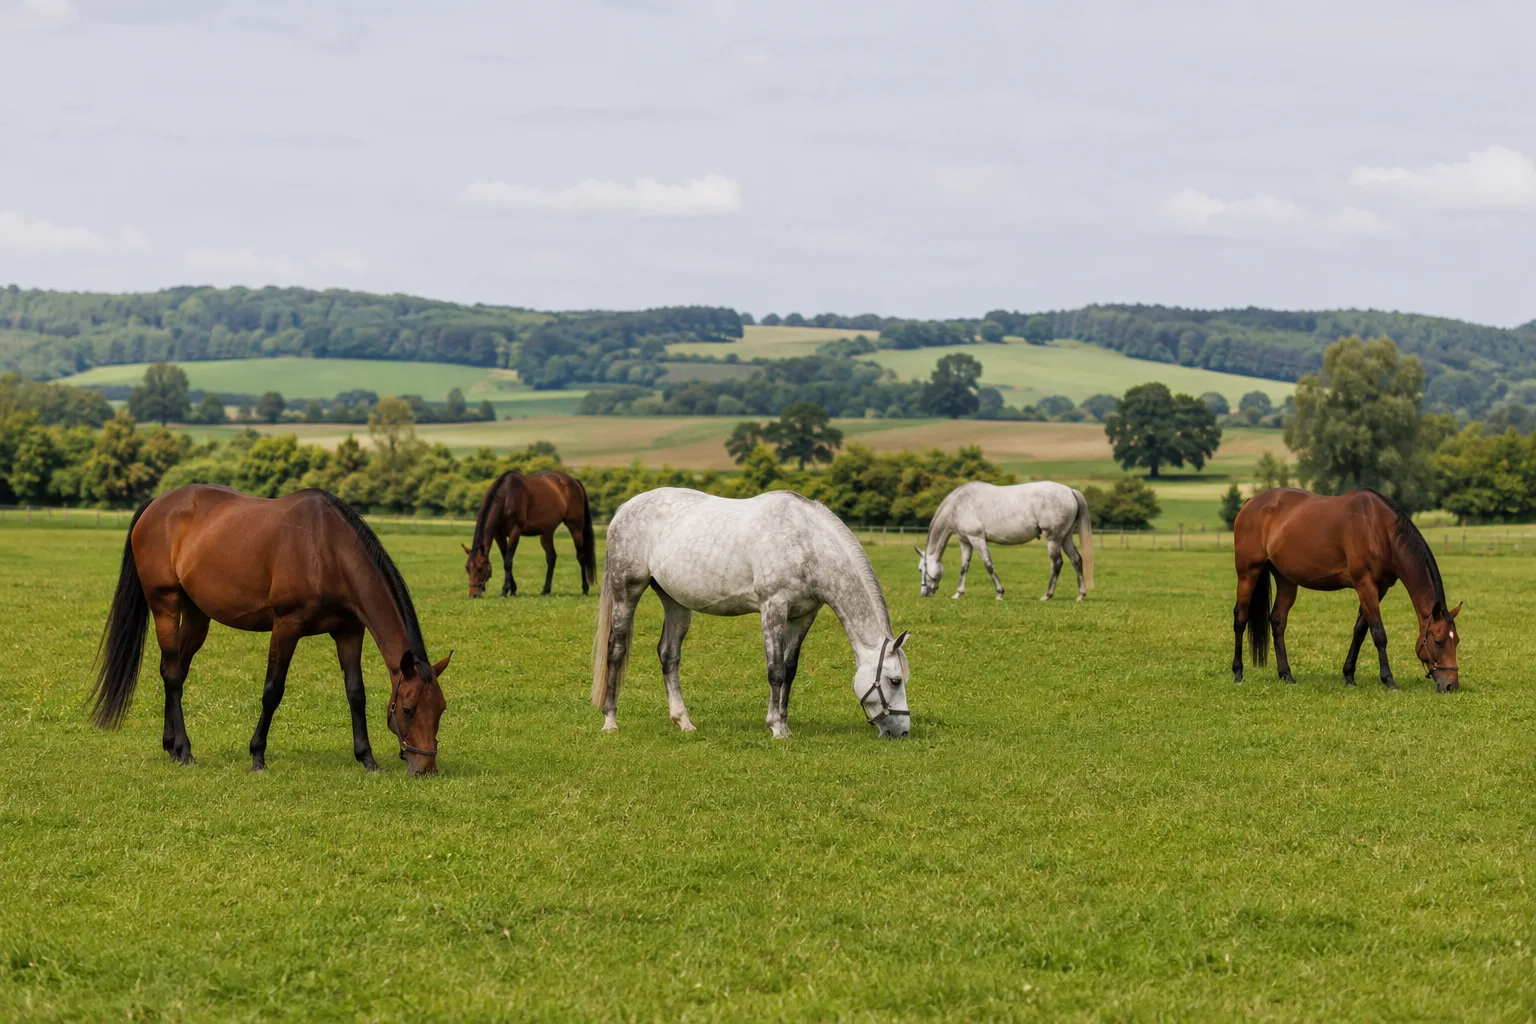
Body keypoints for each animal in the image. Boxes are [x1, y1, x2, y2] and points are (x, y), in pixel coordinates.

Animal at [92, 485, 452, 774]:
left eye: (441, 708)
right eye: (407, 709)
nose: (426, 768)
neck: (326, 549)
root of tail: (156, 505)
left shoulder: (349, 632)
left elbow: (356, 693)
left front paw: (367, 759)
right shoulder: (286, 627)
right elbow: (272, 691)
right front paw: (257, 757)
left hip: (197, 615)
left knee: (175, 670)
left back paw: (171, 747)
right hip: (165, 604)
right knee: (172, 674)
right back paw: (184, 750)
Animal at [463, 470, 596, 598]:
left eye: (480, 568)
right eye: (467, 568)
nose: (473, 595)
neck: (506, 496)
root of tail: (574, 481)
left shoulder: (515, 532)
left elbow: (508, 561)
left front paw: (504, 591)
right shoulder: (498, 535)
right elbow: (505, 558)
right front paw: (512, 589)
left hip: (575, 528)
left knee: (581, 556)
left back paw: (585, 589)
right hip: (546, 533)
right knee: (551, 558)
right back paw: (545, 591)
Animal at [591, 488, 912, 739]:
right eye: (895, 680)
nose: (902, 731)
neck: (807, 543)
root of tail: (625, 508)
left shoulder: (803, 616)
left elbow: (790, 669)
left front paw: (784, 722)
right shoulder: (773, 607)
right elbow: (775, 670)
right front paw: (776, 727)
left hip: (675, 602)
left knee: (669, 655)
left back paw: (684, 722)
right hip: (626, 591)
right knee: (616, 650)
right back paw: (610, 722)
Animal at [915, 480, 1094, 601]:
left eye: (920, 569)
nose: (924, 593)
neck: (958, 504)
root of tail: (1070, 491)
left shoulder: (977, 538)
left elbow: (988, 565)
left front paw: (999, 593)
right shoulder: (966, 541)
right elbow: (964, 567)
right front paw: (958, 593)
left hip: (1053, 538)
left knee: (1057, 563)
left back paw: (1047, 595)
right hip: (1065, 538)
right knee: (1076, 560)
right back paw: (1081, 595)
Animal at [1232, 487, 1461, 692]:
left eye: (1456, 641)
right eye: (1438, 642)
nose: (1451, 685)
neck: (1379, 529)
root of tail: (1250, 503)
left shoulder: (1379, 588)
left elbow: (1360, 630)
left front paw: (1349, 676)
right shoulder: (1365, 584)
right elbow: (1379, 633)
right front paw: (1389, 680)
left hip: (1286, 580)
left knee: (1278, 621)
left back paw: (1286, 675)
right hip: (1248, 573)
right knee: (1240, 617)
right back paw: (1238, 673)